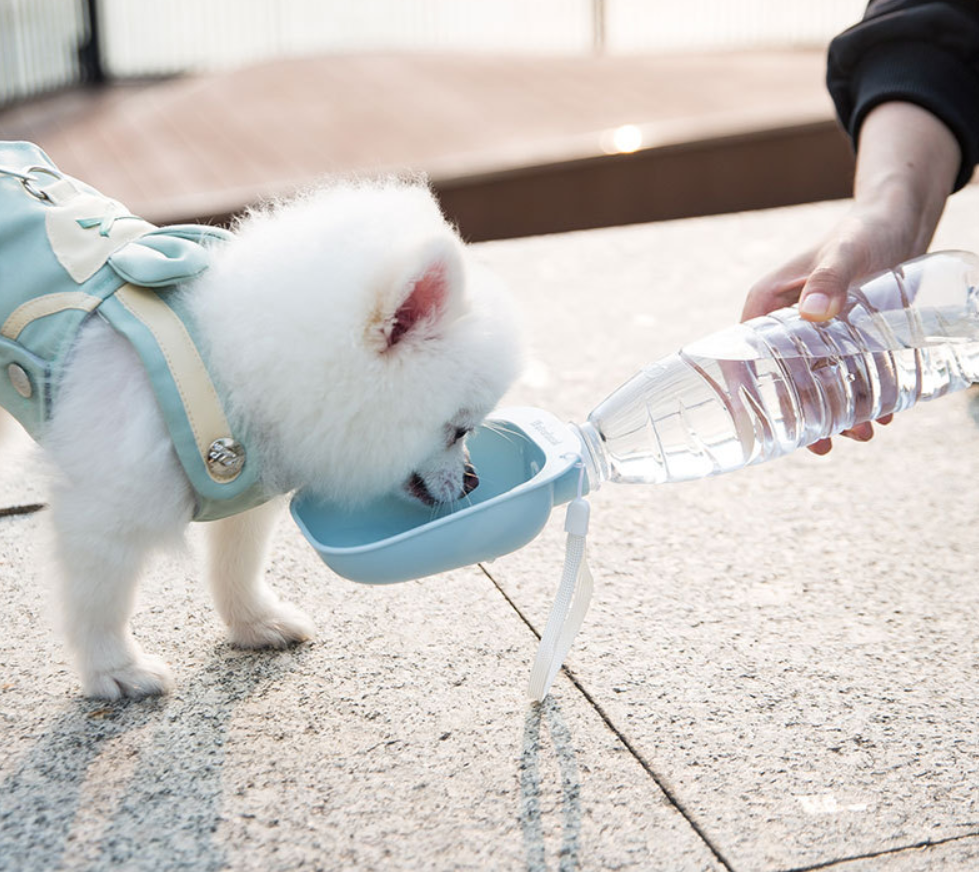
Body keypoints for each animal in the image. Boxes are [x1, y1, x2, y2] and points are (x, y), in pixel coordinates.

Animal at [33, 181, 520, 700]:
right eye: (458, 430)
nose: (471, 481)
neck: (221, 371)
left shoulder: (243, 489)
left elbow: (236, 563)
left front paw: (254, 623)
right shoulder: (104, 512)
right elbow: (98, 599)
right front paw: (114, 670)